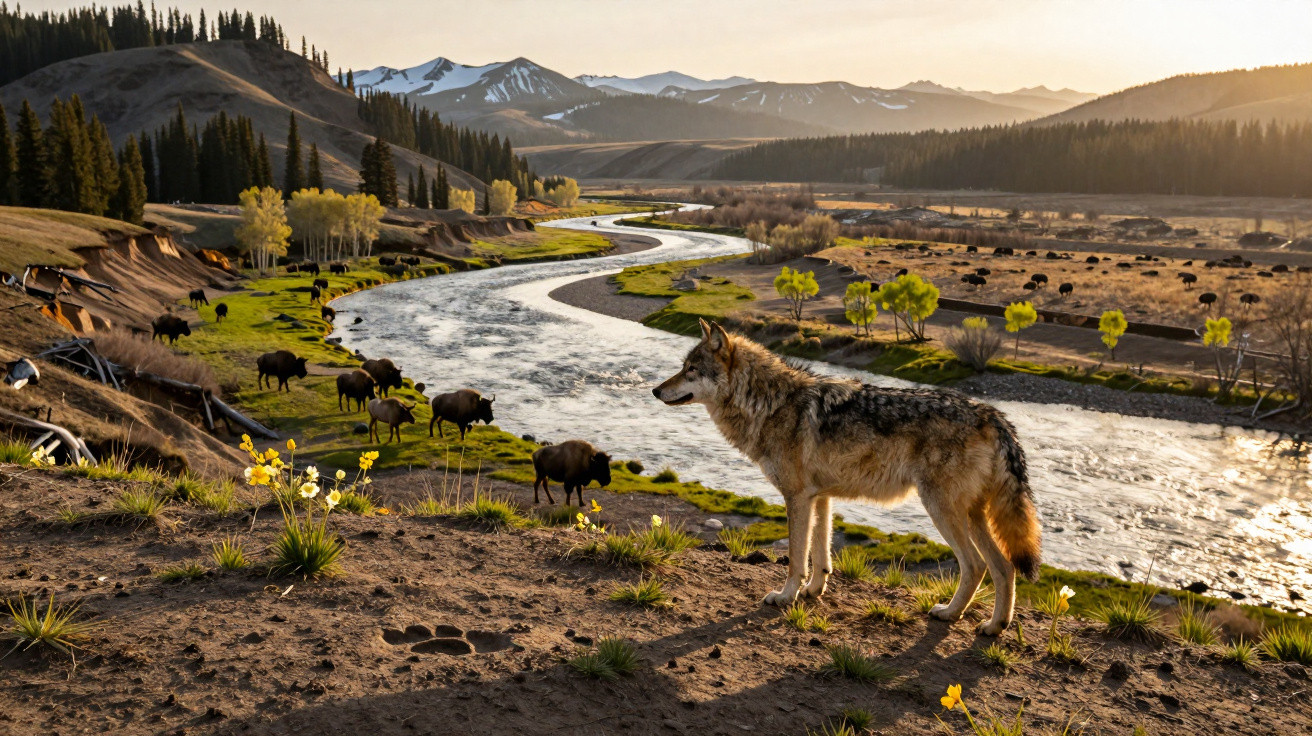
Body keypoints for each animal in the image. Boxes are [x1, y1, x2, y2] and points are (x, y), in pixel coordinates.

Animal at [653, 320, 1041, 635]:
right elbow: (821, 554)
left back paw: (950, 614)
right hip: (972, 515)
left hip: (942, 510)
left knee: (975, 565)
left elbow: (796, 557)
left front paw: (785, 596)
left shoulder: (796, 496)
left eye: (691, 370)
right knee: (1004, 568)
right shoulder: (820, 496)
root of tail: (993, 415)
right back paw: (994, 626)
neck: (770, 403)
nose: (656, 390)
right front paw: (813, 591)